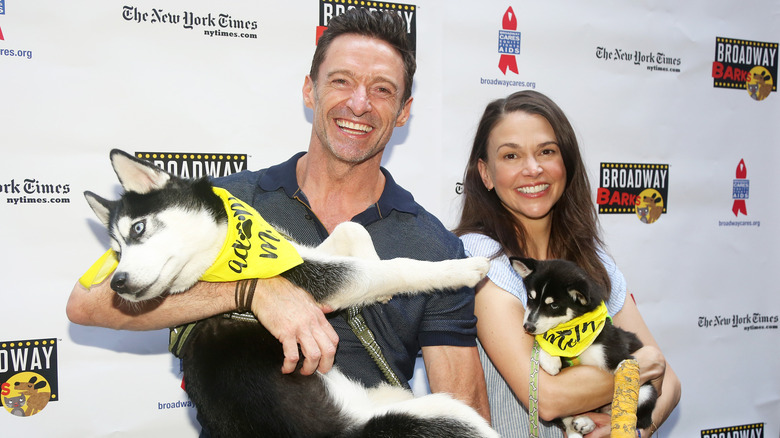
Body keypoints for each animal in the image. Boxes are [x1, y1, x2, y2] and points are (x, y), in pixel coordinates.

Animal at [85, 150, 496, 438]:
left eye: (137, 229)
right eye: (116, 251)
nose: (116, 283)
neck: (226, 251)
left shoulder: (302, 253)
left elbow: (351, 230)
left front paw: (375, 286)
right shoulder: (323, 281)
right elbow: (396, 268)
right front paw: (460, 269)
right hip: (444, 412)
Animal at [512, 256, 660, 438]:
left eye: (554, 306)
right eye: (530, 297)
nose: (528, 327)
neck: (574, 333)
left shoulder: (620, 356)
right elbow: (545, 342)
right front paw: (550, 359)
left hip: (646, 392)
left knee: (635, 418)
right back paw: (583, 424)